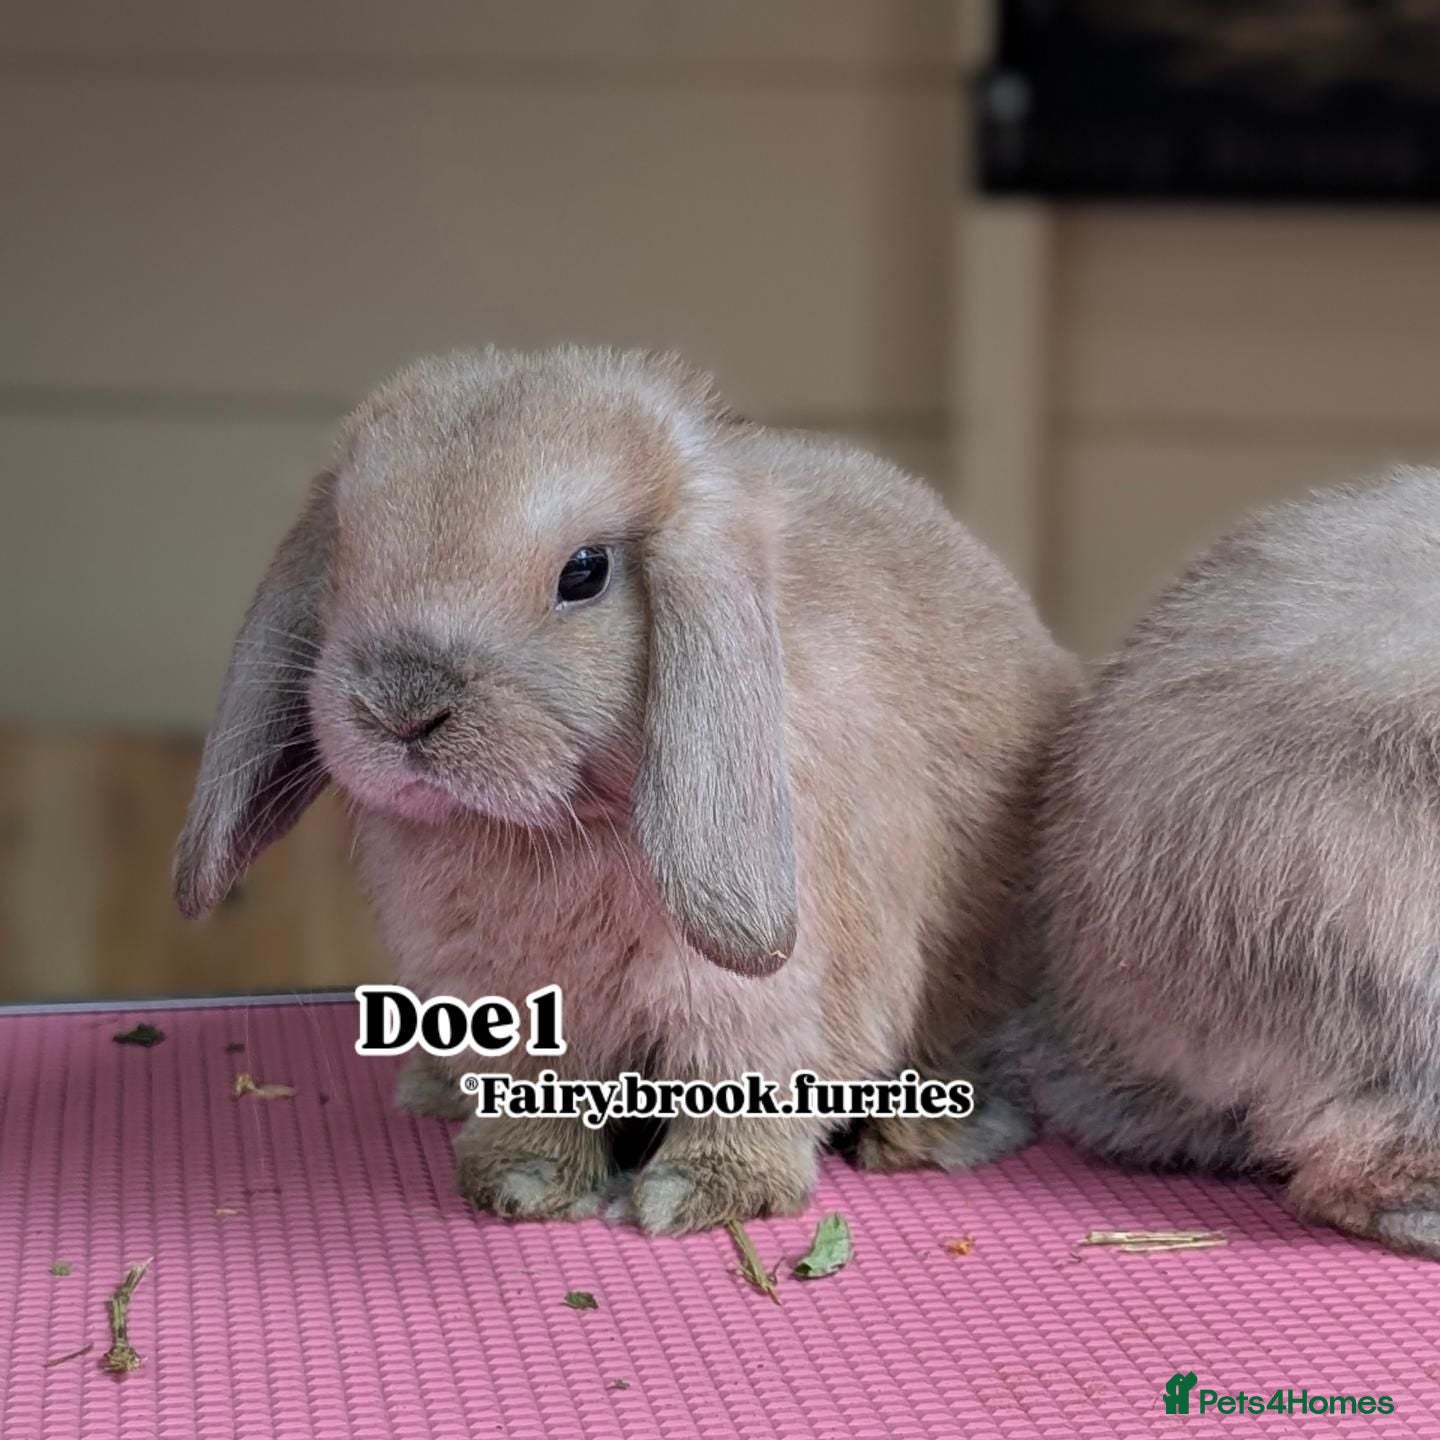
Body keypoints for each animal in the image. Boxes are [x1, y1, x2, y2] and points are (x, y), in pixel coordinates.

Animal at [173, 345, 1078, 1233]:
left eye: (585, 572)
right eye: (343, 559)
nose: (402, 706)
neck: (552, 827)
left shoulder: (763, 1003)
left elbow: (749, 1091)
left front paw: (703, 1194)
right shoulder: (502, 1003)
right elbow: (536, 1096)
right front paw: (523, 1179)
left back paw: (929, 1132)